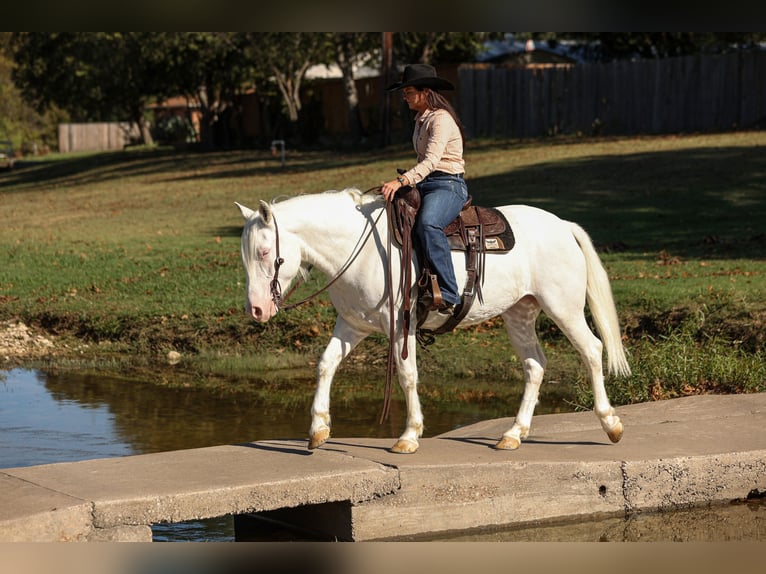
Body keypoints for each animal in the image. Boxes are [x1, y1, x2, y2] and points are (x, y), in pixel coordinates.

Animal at [237, 189, 632, 454]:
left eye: (265, 252)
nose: (255, 309)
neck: (361, 250)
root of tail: (563, 226)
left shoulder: (401, 327)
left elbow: (407, 375)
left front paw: (409, 435)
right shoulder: (353, 325)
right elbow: (325, 364)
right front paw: (318, 428)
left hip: (563, 307)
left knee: (592, 350)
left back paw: (611, 424)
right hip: (519, 313)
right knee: (535, 365)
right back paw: (513, 434)